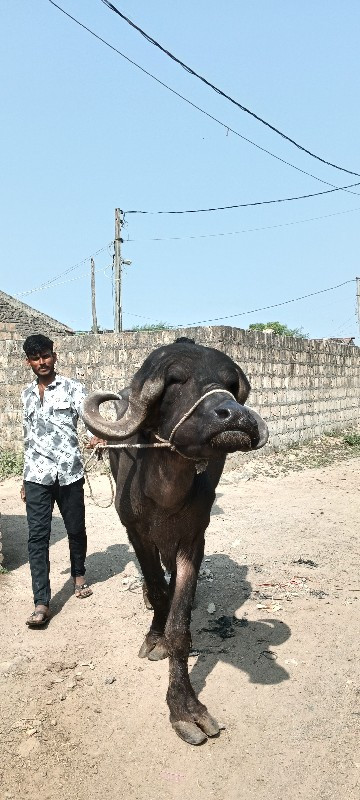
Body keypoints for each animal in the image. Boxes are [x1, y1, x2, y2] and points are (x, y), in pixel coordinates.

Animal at [81, 336, 268, 744]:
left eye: (230, 385)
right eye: (177, 381)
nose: (235, 416)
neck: (165, 491)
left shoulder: (193, 540)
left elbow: (180, 625)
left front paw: (185, 708)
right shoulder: (136, 534)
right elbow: (157, 590)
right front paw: (156, 637)